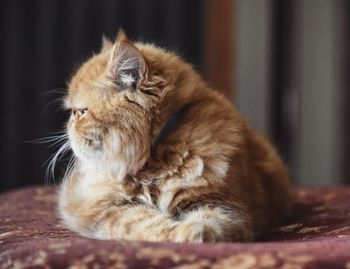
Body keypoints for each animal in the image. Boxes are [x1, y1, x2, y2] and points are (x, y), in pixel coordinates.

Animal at [57, 31, 292, 243]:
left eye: (81, 112)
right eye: (74, 112)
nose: (68, 125)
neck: (153, 155)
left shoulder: (223, 203)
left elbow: (209, 221)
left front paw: (191, 233)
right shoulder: (108, 208)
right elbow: (143, 221)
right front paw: (172, 232)